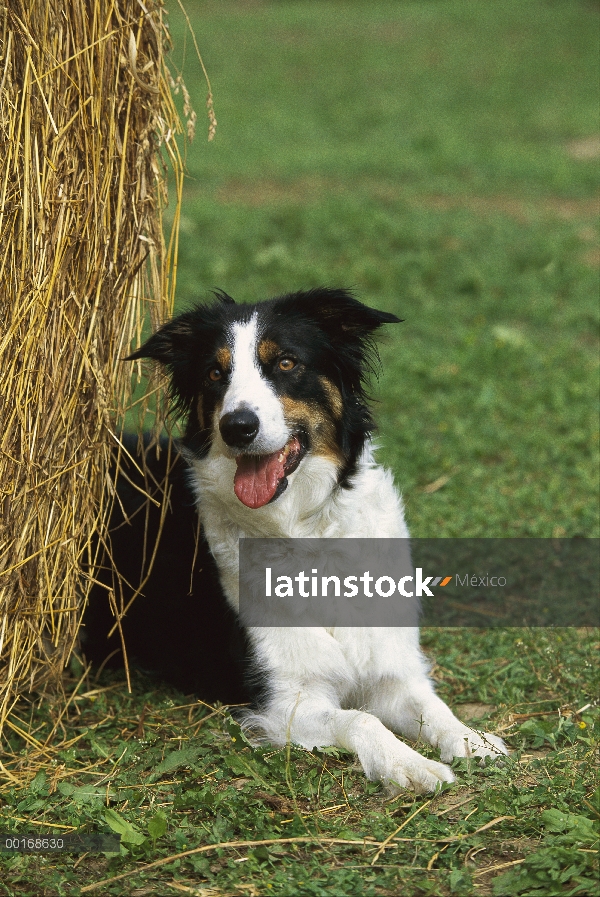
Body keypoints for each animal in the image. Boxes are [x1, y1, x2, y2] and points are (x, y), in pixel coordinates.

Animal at [85, 288, 506, 792]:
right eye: (215, 373)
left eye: (286, 363)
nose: (237, 427)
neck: (305, 529)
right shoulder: (286, 701)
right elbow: (361, 719)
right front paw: (409, 765)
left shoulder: (391, 671)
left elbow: (432, 708)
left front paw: (471, 739)